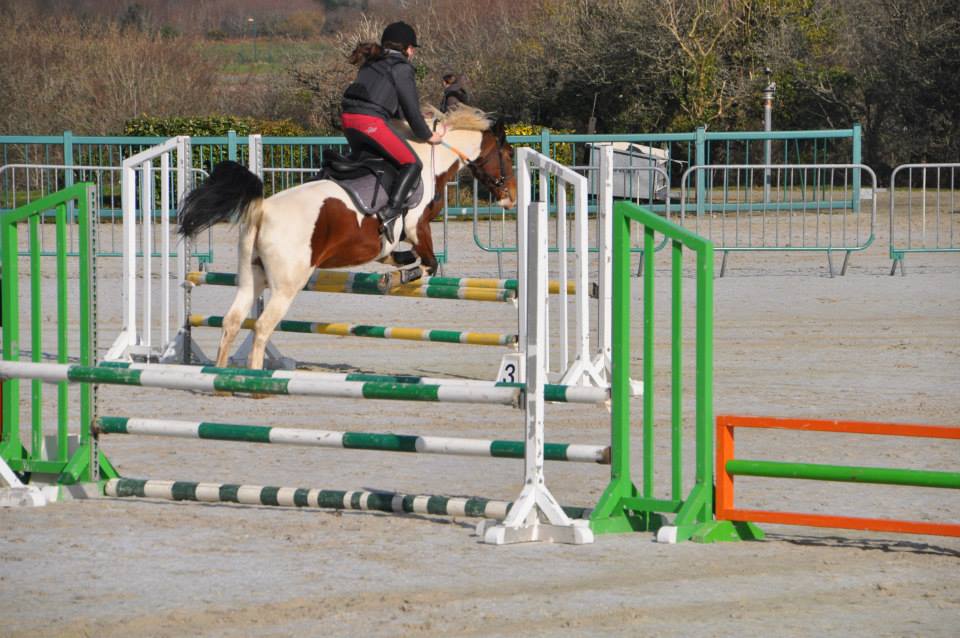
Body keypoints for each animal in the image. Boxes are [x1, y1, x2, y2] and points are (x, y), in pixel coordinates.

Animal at [177, 106, 517, 370]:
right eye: (508, 154)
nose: (511, 199)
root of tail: (262, 210)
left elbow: (397, 255)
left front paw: (398, 264)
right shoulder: (416, 227)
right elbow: (429, 263)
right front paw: (397, 277)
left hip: (251, 277)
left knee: (232, 321)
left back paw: (221, 375)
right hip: (287, 284)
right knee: (261, 326)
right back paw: (254, 381)